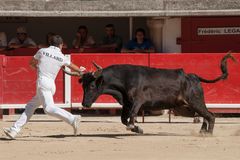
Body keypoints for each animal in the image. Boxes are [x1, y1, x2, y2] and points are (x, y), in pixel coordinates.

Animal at [68, 53, 236, 134]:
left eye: (91, 86)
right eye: (82, 86)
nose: (84, 104)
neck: (124, 79)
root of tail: (193, 76)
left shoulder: (138, 101)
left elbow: (132, 116)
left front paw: (134, 127)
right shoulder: (126, 103)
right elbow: (123, 119)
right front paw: (138, 129)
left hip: (194, 101)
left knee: (210, 115)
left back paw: (208, 133)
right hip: (184, 107)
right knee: (204, 115)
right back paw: (202, 131)